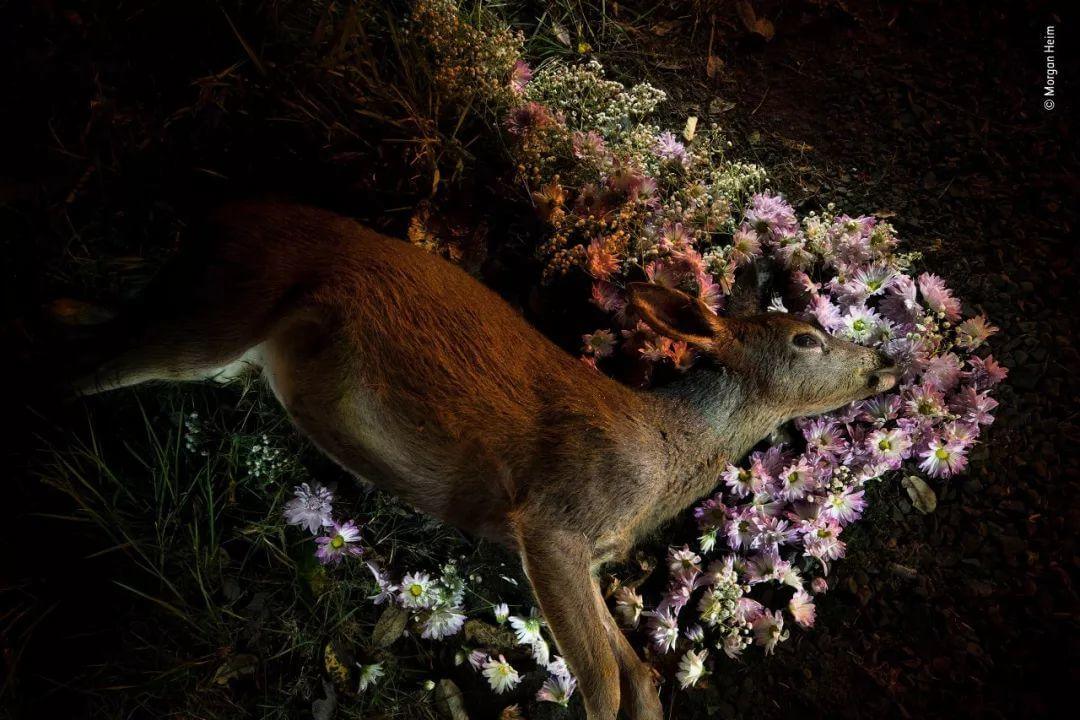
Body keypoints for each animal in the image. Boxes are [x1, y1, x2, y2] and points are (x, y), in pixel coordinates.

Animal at [73, 201, 894, 720]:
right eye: (805, 338)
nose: (886, 362)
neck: (661, 451)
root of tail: (212, 216)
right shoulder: (554, 519)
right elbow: (603, 684)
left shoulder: (588, 556)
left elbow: (640, 681)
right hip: (220, 310)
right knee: (80, 363)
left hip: (217, 339)